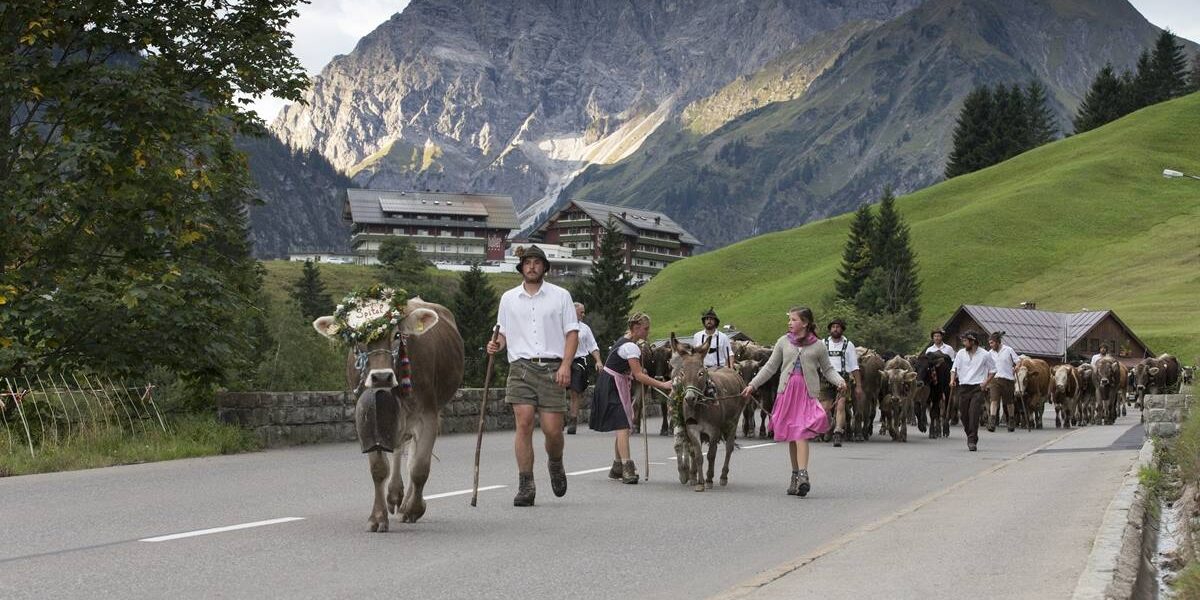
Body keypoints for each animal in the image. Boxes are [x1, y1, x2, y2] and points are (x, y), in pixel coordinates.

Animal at [314, 288, 463, 532]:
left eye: (397, 335)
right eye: (356, 338)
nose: (381, 377)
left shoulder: (428, 415)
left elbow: (419, 467)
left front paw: (414, 509)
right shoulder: (366, 417)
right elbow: (379, 468)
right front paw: (377, 517)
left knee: (411, 455)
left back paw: (407, 503)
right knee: (398, 446)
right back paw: (394, 495)